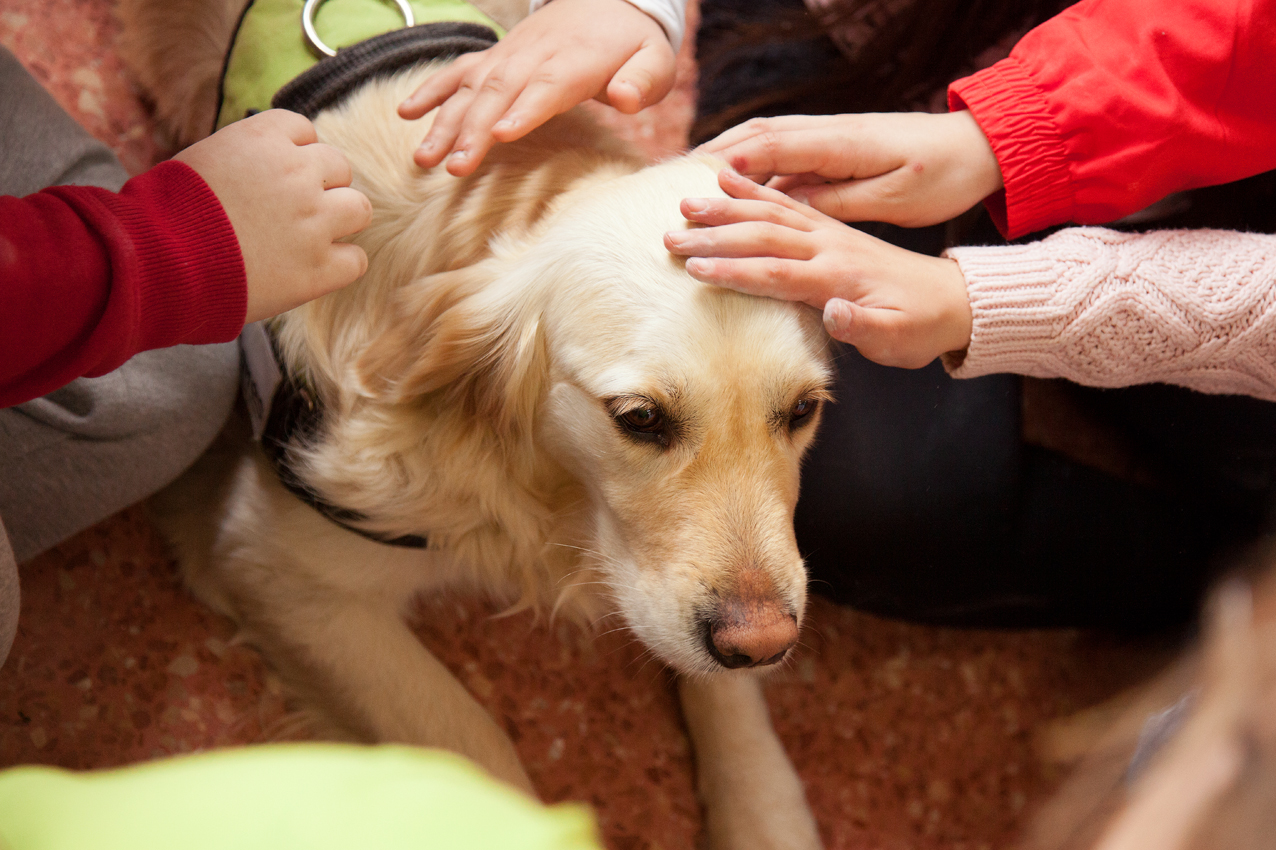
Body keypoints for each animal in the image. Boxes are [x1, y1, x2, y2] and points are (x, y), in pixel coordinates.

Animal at [122, 1, 833, 846]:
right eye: (639, 419)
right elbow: (472, 743)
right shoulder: (274, 565)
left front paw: (763, 810)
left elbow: (725, 688)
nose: (763, 642)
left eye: (802, 410)